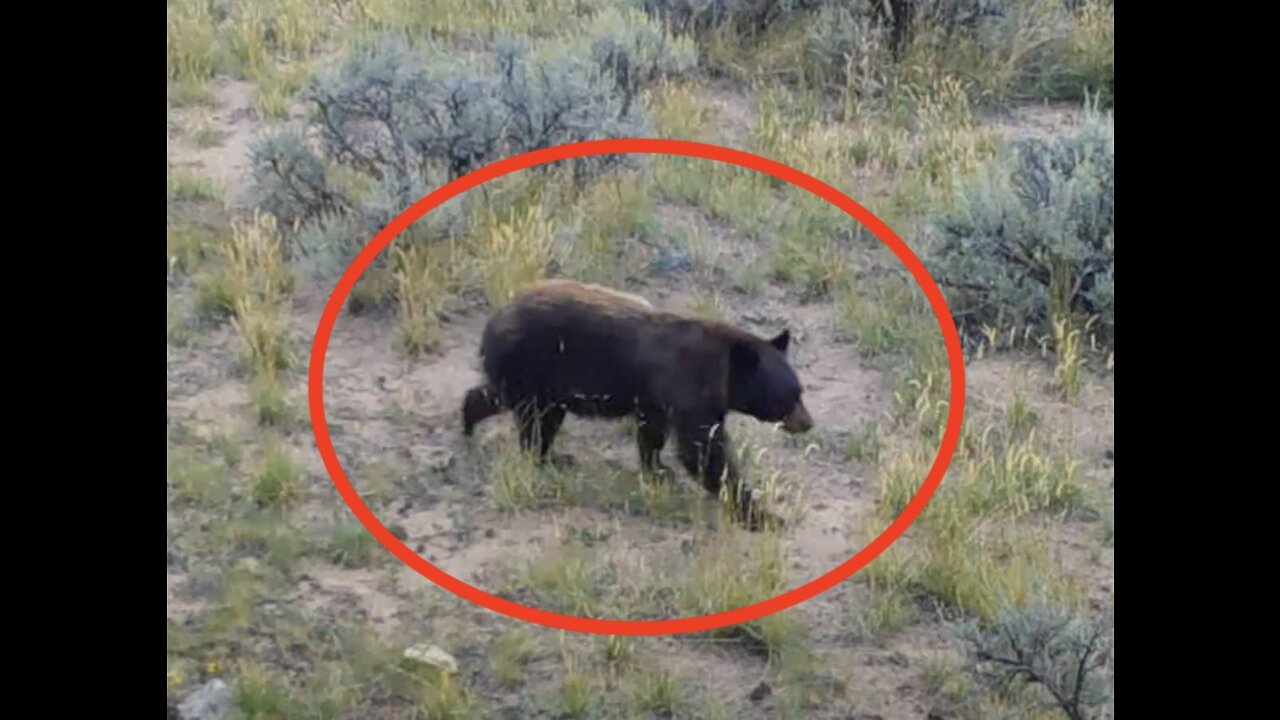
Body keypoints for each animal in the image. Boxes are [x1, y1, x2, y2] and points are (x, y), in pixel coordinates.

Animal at [465, 278, 814, 530]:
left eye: (801, 391)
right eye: (790, 395)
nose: (808, 422)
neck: (724, 369)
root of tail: (490, 325)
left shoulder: (656, 400)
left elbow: (653, 434)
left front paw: (658, 470)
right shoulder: (690, 388)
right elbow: (703, 450)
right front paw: (763, 516)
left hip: (541, 383)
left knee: (521, 408)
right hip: (533, 369)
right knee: (531, 420)